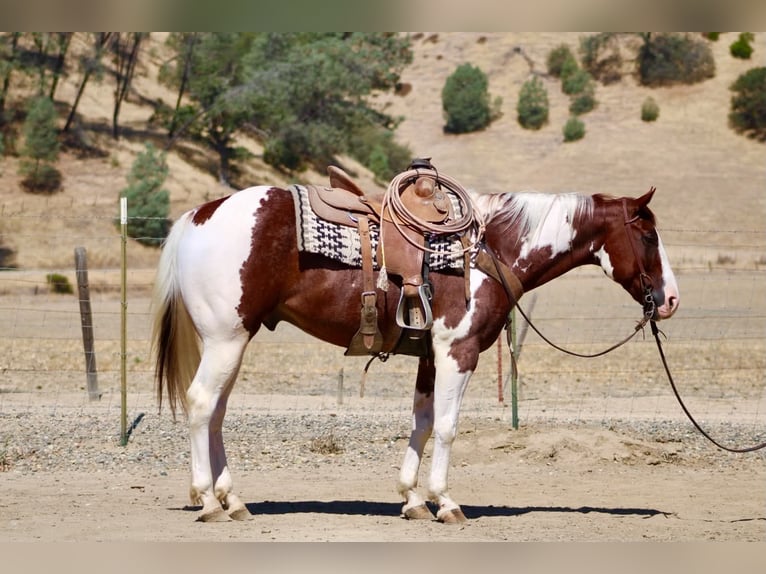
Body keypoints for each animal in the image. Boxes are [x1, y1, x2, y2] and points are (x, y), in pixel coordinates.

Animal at [151, 179, 679, 523]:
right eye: (649, 235)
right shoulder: (458, 350)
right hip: (225, 339)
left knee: (216, 413)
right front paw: (445, 502)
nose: (671, 299)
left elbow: (421, 424)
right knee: (202, 404)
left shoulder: (429, 355)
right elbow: (446, 428)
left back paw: (233, 500)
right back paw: (209, 501)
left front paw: (412, 499)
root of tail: (198, 216)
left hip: (234, 341)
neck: (489, 250)